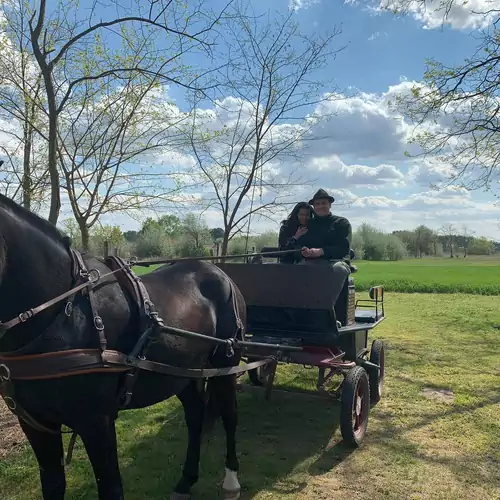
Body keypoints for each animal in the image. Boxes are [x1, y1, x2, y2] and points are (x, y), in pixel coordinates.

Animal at [0, 192, 247, 500]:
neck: (61, 312)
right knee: (195, 416)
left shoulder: (97, 421)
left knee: (230, 415)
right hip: (184, 373)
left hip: (224, 365)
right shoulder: (36, 424)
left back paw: (231, 481)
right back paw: (185, 482)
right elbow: (54, 484)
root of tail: (219, 272)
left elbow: (111, 487)